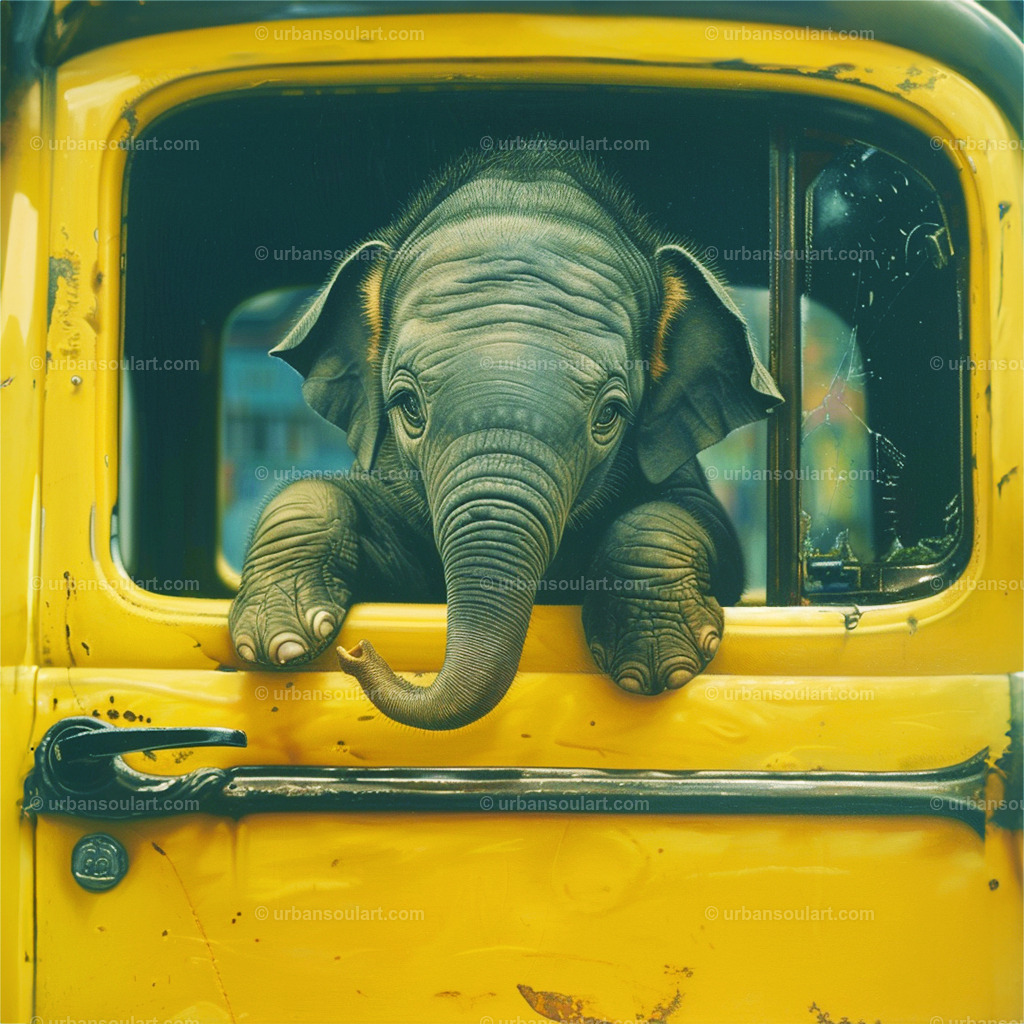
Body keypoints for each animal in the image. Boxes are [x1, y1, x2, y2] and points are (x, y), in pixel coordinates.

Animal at [229, 147, 782, 730]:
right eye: (407, 405)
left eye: (610, 415)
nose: (355, 652)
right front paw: (278, 643)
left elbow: (691, 521)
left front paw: (656, 669)